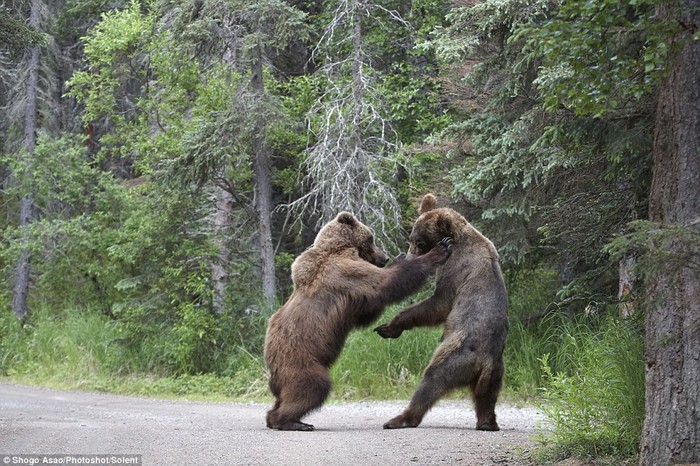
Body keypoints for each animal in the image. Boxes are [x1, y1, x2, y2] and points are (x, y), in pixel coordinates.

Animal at [262, 210, 454, 430]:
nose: (384, 257)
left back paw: (281, 418)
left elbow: (365, 312)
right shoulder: (346, 274)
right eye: (371, 238)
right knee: (312, 386)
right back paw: (291, 421)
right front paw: (441, 249)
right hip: (300, 359)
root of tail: (270, 364)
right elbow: (385, 282)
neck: (338, 247)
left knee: (286, 396)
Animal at [372, 193, 508, 430]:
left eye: (420, 242)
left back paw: (399, 419)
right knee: (487, 398)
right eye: (411, 239)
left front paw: (388, 326)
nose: (409, 259)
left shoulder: (455, 269)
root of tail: (485, 363)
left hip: (456, 356)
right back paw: (487, 423)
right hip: (496, 373)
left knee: (431, 381)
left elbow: (439, 304)